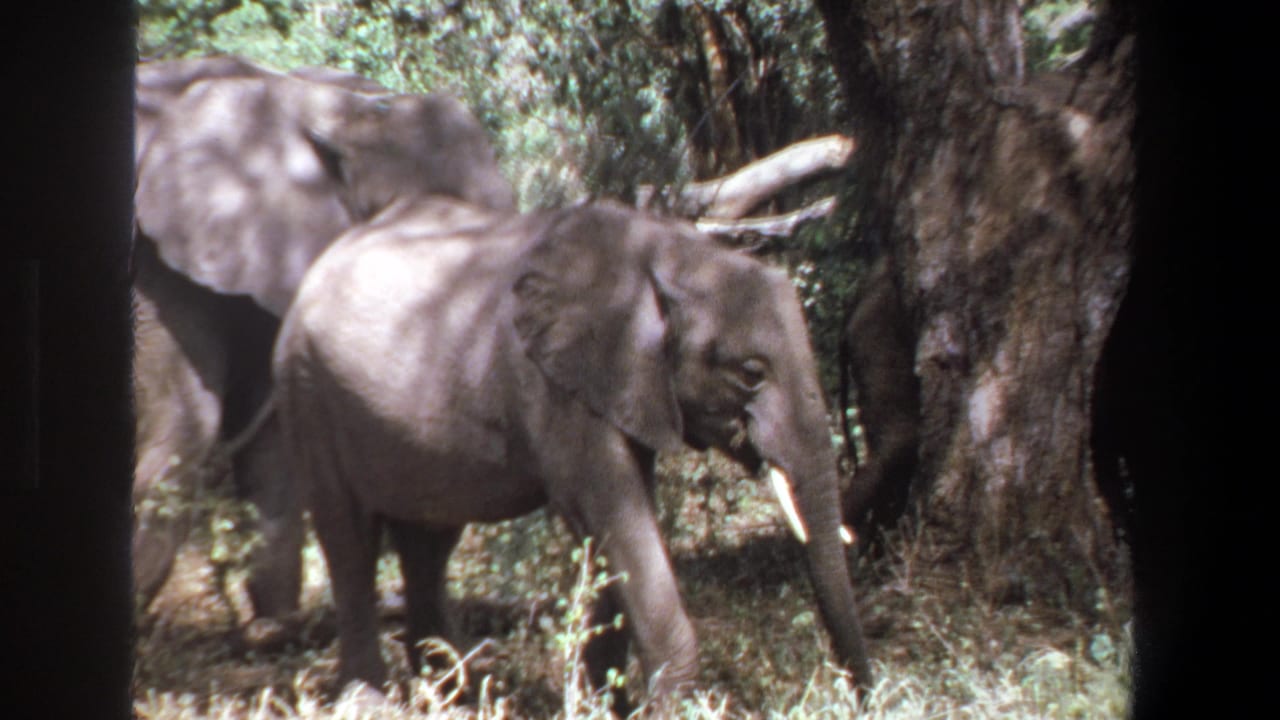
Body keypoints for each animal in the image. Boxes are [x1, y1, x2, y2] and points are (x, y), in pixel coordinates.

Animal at [272, 198, 873, 700]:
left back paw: (454, 694)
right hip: (305, 391)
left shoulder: (624, 386)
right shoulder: (554, 387)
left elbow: (616, 528)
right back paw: (369, 700)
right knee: (349, 540)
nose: (866, 696)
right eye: (751, 373)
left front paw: (604, 704)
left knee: (428, 541)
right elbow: (612, 514)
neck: (667, 252)